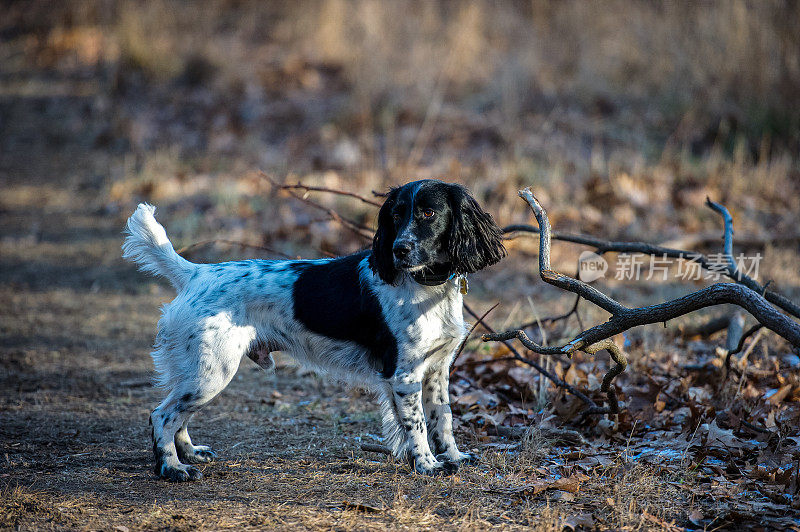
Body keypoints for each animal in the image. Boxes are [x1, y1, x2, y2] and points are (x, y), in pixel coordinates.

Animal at [120, 180, 506, 482]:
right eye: (396, 216)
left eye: (428, 213)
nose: (400, 249)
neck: (426, 286)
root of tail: (195, 273)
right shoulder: (404, 374)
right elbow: (419, 424)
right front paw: (427, 465)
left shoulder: (437, 369)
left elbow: (443, 418)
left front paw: (454, 458)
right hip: (212, 372)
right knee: (162, 415)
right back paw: (172, 469)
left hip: (199, 372)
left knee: (177, 415)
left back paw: (190, 454)